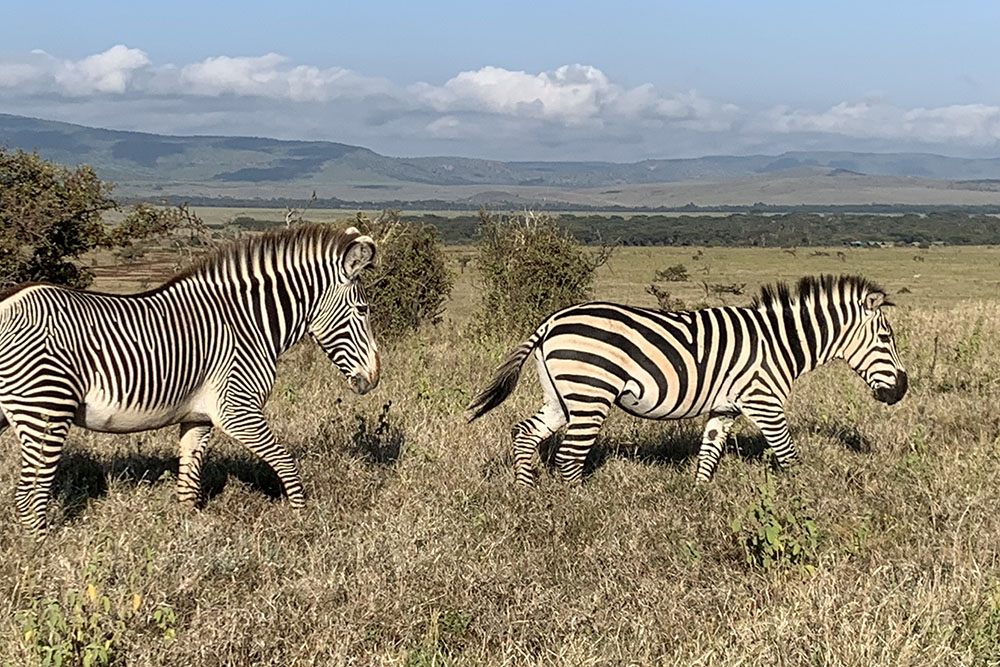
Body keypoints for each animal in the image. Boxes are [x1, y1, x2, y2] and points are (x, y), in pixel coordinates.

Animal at [0, 224, 380, 536]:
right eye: (362, 310)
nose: (374, 378)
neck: (247, 323)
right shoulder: (237, 409)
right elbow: (284, 459)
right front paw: (302, 518)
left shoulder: (199, 417)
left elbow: (189, 479)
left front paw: (187, 532)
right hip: (46, 409)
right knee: (28, 494)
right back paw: (43, 548)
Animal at [468, 274, 908, 488]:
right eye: (886, 339)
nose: (902, 390)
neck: (779, 342)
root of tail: (549, 322)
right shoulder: (763, 401)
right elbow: (788, 455)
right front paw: (804, 499)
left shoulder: (725, 408)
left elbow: (709, 455)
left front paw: (699, 498)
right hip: (591, 392)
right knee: (569, 457)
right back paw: (577, 505)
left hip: (563, 395)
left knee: (524, 432)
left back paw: (525, 491)